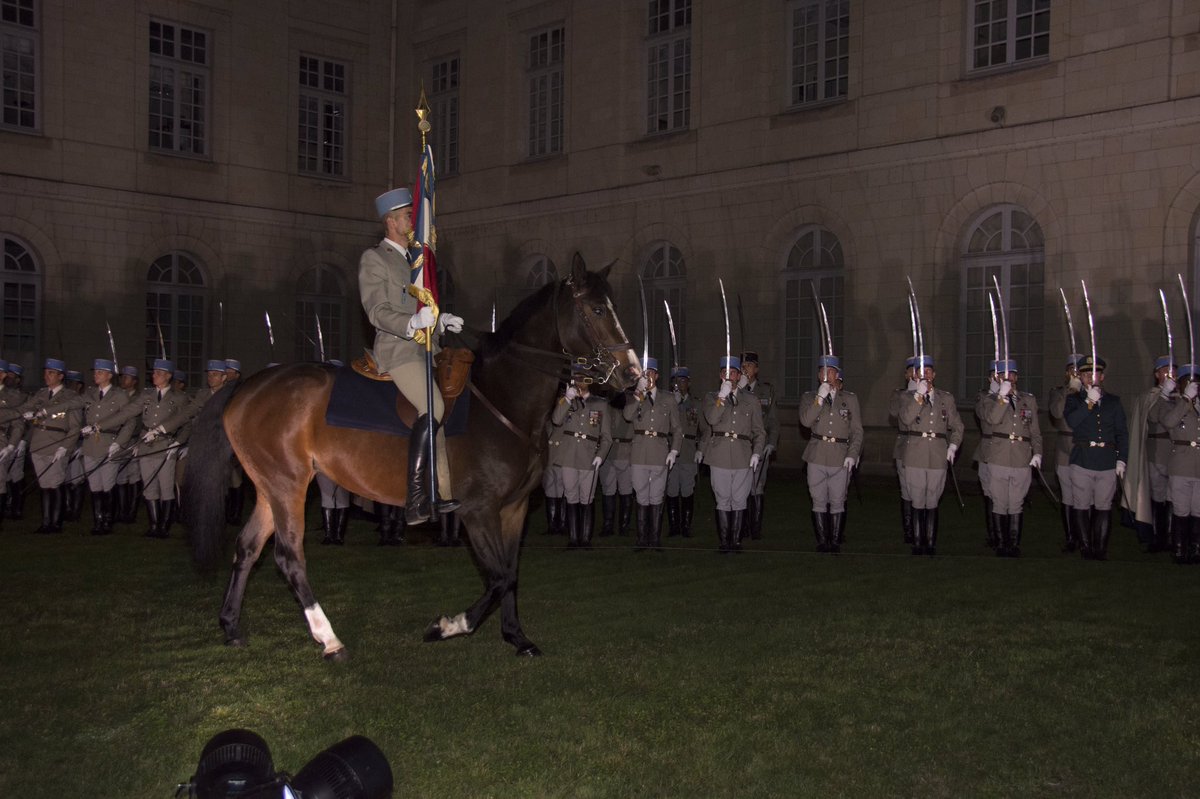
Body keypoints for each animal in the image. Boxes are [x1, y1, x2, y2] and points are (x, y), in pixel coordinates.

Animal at [180, 255, 638, 657]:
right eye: (598, 309)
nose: (632, 373)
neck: (503, 400)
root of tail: (247, 385)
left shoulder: (514, 507)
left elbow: (510, 575)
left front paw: (516, 637)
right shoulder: (477, 510)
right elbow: (496, 578)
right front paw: (448, 626)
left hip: (269, 487)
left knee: (247, 547)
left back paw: (232, 627)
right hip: (287, 485)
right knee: (288, 557)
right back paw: (330, 640)